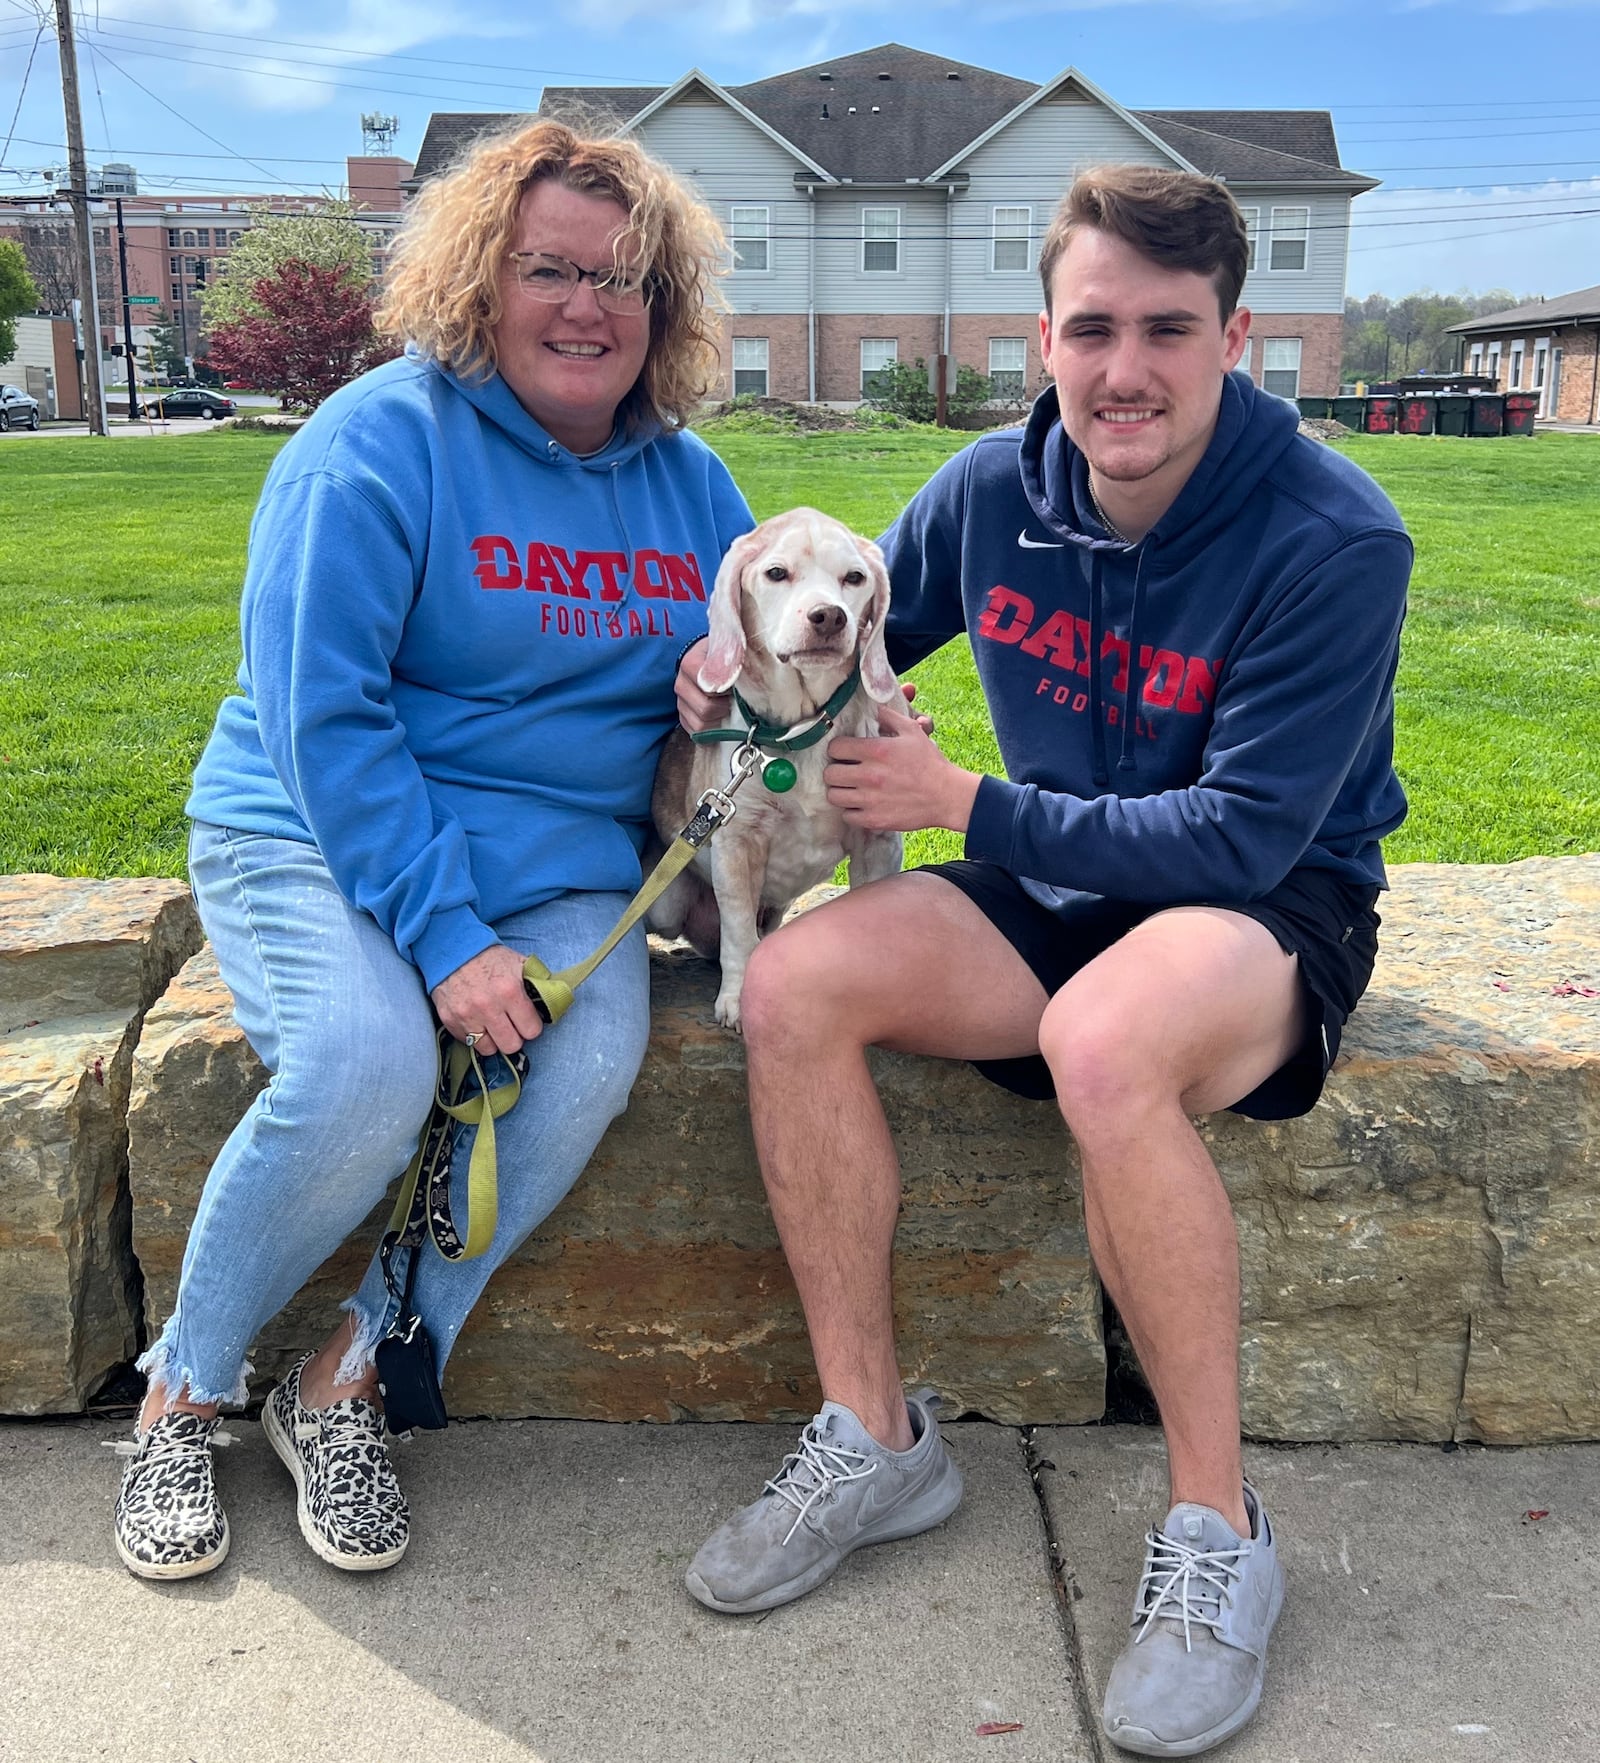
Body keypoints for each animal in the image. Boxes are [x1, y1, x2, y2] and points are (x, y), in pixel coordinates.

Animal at [648, 511, 898, 1029]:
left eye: (855, 578)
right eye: (776, 573)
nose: (829, 616)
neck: (803, 729)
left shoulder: (879, 841)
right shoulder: (736, 843)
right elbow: (741, 933)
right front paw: (737, 998)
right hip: (665, 904)